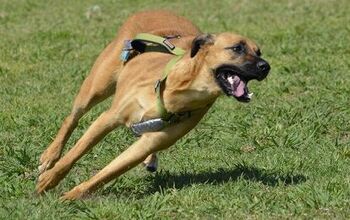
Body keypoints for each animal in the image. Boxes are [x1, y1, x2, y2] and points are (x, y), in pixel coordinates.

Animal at [36, 9, 270, 199]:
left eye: (259, 52)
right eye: (237, 48)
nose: (266, 67)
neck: (181, 88)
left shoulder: (154, 140)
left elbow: (108, 172)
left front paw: (73, 195)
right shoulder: (108, 118)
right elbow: (75, 153)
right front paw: (49, 180)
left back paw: (150, 159)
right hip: (96, 87)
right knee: (72, 118)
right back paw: (50, 156)